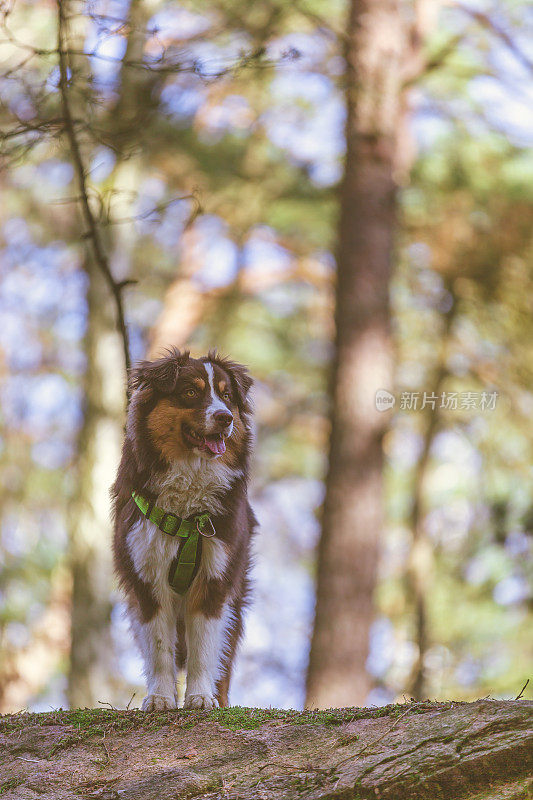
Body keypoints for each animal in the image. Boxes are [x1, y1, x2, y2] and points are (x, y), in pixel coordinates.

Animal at [110, 346, 256, 708]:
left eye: (227, 396)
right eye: (191, 392)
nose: (225, 418)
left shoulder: (215, 579)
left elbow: (203, 649)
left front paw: (201, 697)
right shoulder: (147, 578)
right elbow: (160, 650)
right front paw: (160, 698)